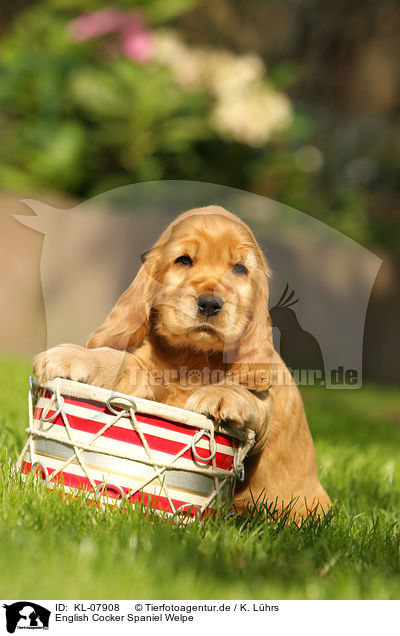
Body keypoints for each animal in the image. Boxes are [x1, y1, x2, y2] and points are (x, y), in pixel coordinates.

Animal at [33, 206, 328, 520]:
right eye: (183, 260)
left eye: (240, 269)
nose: (210, 304)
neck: (192, 355)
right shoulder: (143, 368)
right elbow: (119, 362)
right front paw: (74, 356)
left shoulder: (263, 409)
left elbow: (245, 393)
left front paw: (222, 395)